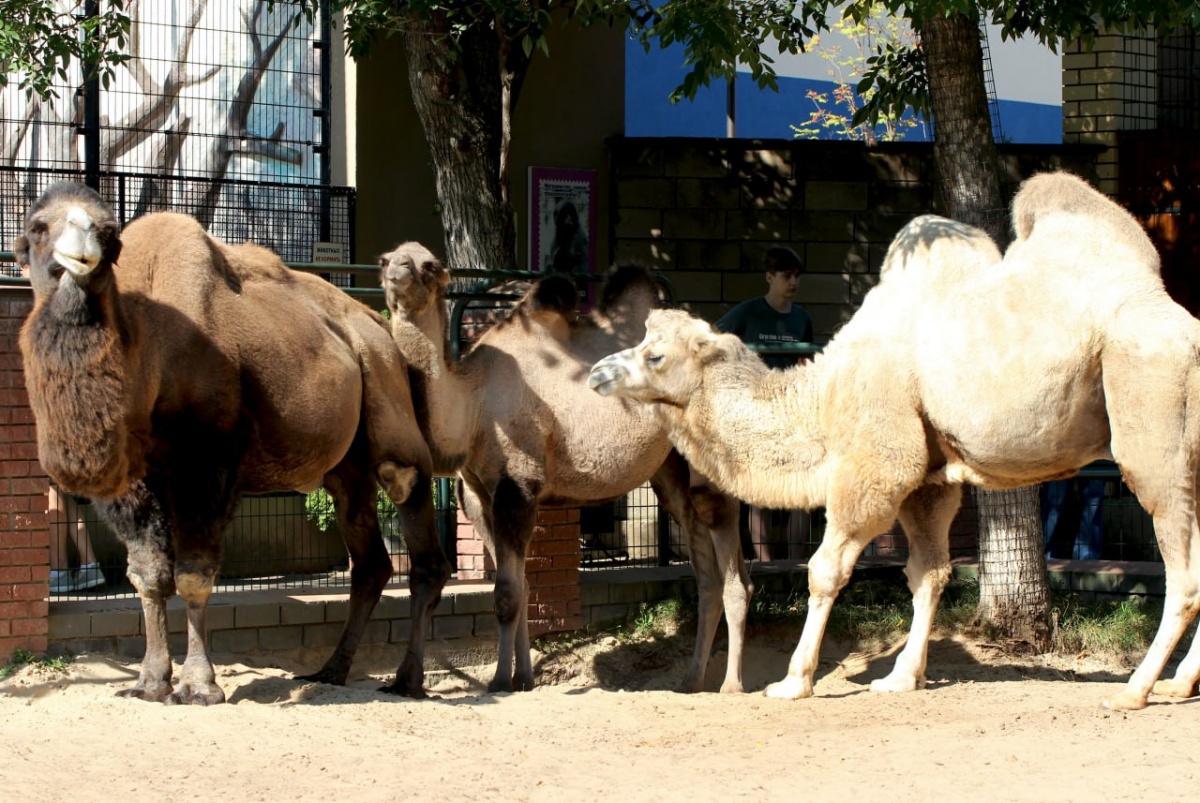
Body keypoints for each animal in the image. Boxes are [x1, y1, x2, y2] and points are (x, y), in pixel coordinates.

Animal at [17, 181, 451, 700]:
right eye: (38, 227)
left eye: (106, 232)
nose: (81, 249)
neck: (145, 346)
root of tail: (376, 323)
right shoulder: (133, 482)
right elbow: (148, 576)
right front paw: (148, 682)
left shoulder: (207, 463)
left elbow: (192, 575)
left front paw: (197, 686)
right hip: (344, 466)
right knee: (370, 562)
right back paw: (330, 671)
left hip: (388, 400)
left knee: (414, 521)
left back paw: (407, 679)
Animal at [381, 241, 748, 691]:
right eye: (386, 259)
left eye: (430, 265)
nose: (397, 272)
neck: (474, 402)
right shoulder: (478, 496)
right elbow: (521, 589)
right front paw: (524, 678)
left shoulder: (517, 485)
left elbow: (507, 595)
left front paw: (500, 681)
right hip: (670, 470)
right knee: (705, 565)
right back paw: (691, 680)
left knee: (729, 556)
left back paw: (732, 685)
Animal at [588, 170, 1200, 705]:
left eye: (654, 354)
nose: (597, 373)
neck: (824, 396)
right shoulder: (927, 479)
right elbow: (928, 572)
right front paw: (902, 677)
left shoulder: (876, 466)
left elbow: (824, 570)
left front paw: (792, 681)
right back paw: (1178, 685)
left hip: (1150, 411)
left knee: (1182, 568)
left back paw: (1136, 690)